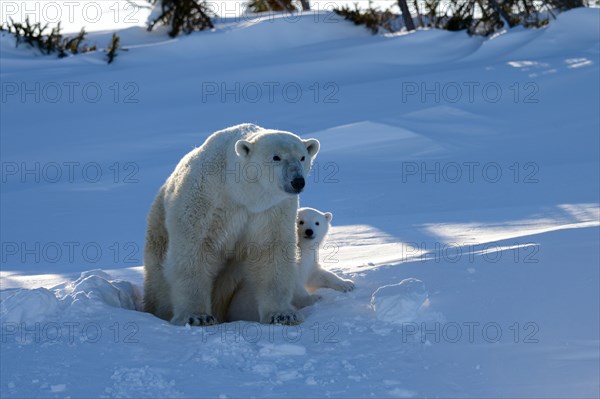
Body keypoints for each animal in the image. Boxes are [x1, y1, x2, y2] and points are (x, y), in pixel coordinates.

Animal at [144, 123, 322, 326]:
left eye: (302, 157)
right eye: (276, 157)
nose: (297, 181)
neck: (240, 193)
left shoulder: (271, 211)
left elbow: (271, 250)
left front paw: (283, 315)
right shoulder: (205, 199)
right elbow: (194, 250)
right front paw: (197, 316)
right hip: (158, 231)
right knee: (159, 282)